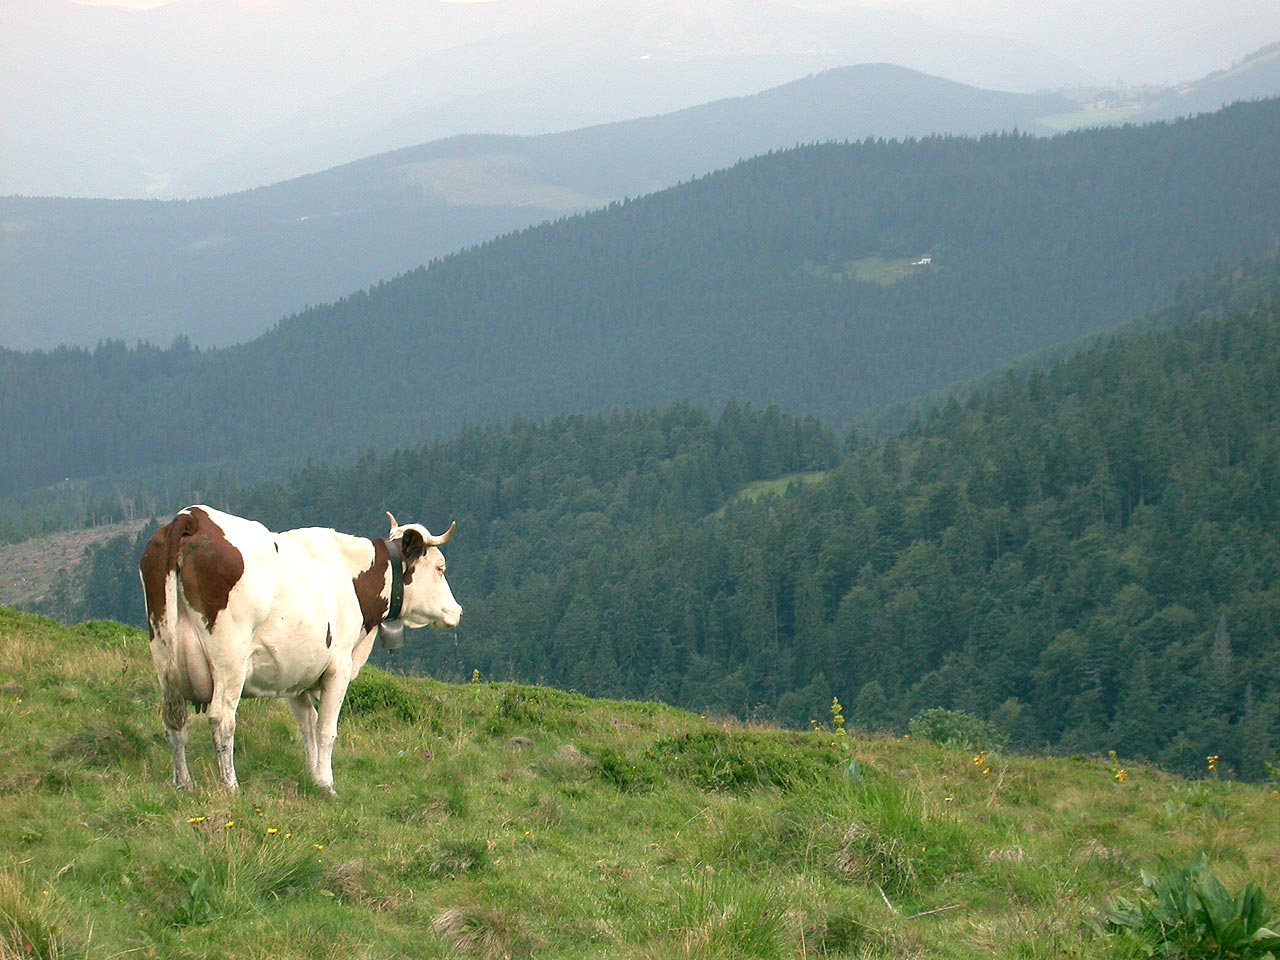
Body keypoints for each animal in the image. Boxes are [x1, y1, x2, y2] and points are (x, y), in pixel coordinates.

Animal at [138, 506, 460, 798]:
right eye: (440, 568)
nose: (457, 611)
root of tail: (193, 516)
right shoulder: (338, 668)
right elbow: (326, 730)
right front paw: (328, 785)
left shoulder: (296, 673)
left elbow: (308, 727)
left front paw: (314, 778)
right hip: (229, 659)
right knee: (222, 719)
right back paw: (230, 786)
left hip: (163, 650)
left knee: (174, 718)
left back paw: (183, 783)